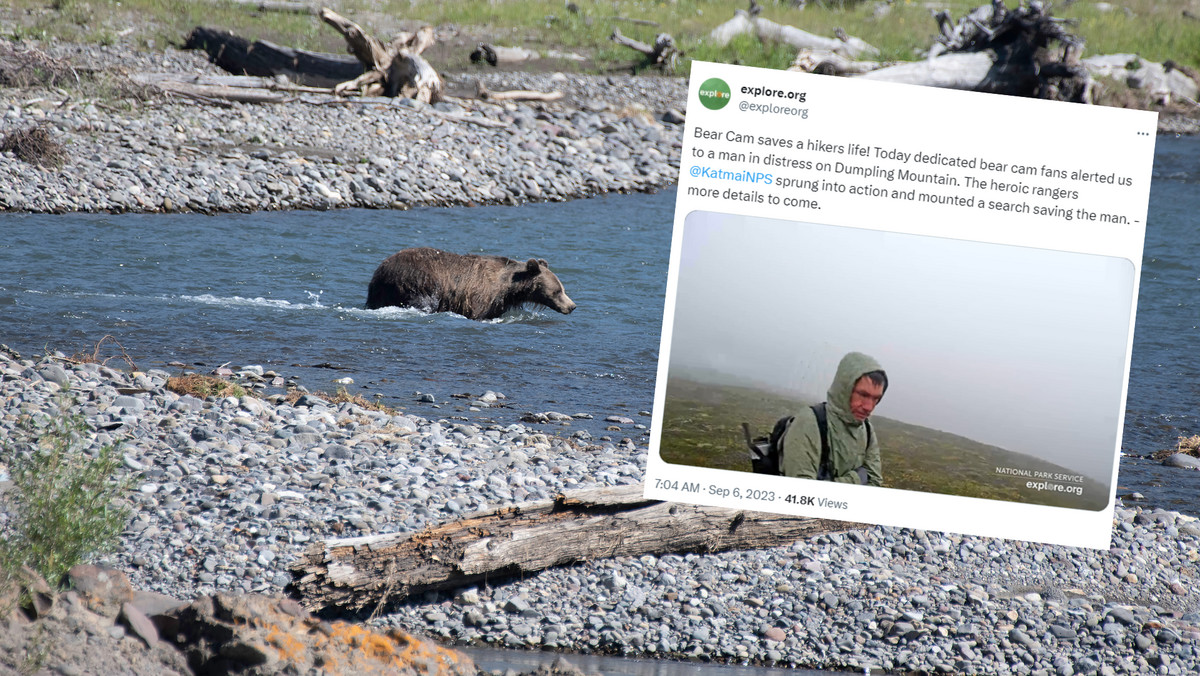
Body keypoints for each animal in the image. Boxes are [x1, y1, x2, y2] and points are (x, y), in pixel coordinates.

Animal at [364, 248, 576, 321]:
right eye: (557, 291)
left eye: (562, 289)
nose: (572, 306)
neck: (509, 289)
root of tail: (380, 270)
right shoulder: (480, 297)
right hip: (418, 282)